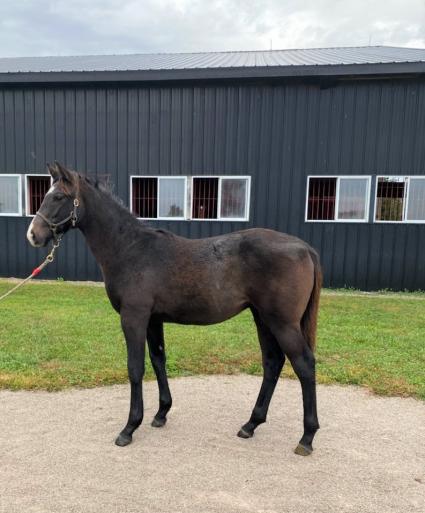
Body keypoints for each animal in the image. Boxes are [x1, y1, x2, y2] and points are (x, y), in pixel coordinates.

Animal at [27, 162, 322, 454]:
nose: (33, 234)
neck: (130, 249)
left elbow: (135, 368)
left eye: (58, 197)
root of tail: (305, 247)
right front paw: (161, 414)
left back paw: (306, 437)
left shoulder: (133, 317)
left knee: (304, 365)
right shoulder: (153, 320)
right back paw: (251, 424)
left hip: (282, 322)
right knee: (272, 362)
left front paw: (129, 428)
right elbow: (158, 360)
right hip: (262, 318)